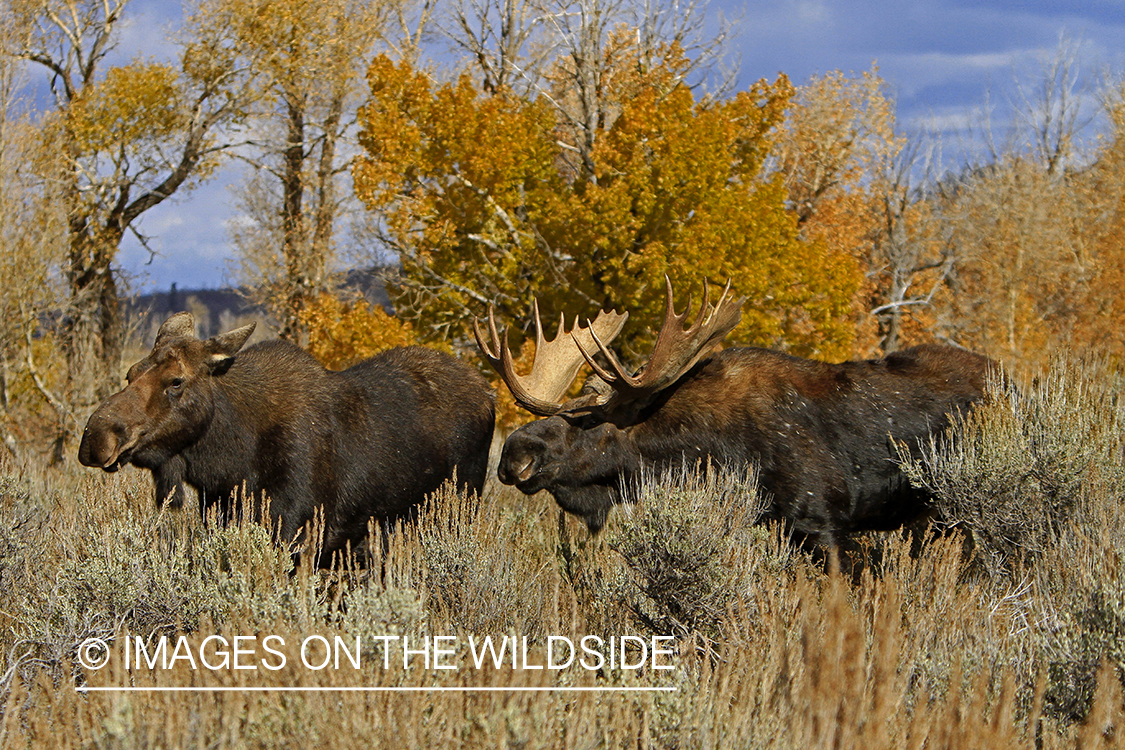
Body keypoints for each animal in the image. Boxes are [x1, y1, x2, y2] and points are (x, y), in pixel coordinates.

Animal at [79, 312, 495, 563]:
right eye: (131, 373)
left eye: (176, 381)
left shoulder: (298, 533)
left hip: (460, 505)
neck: (230, 462)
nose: (96, 437)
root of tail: (488, 392)